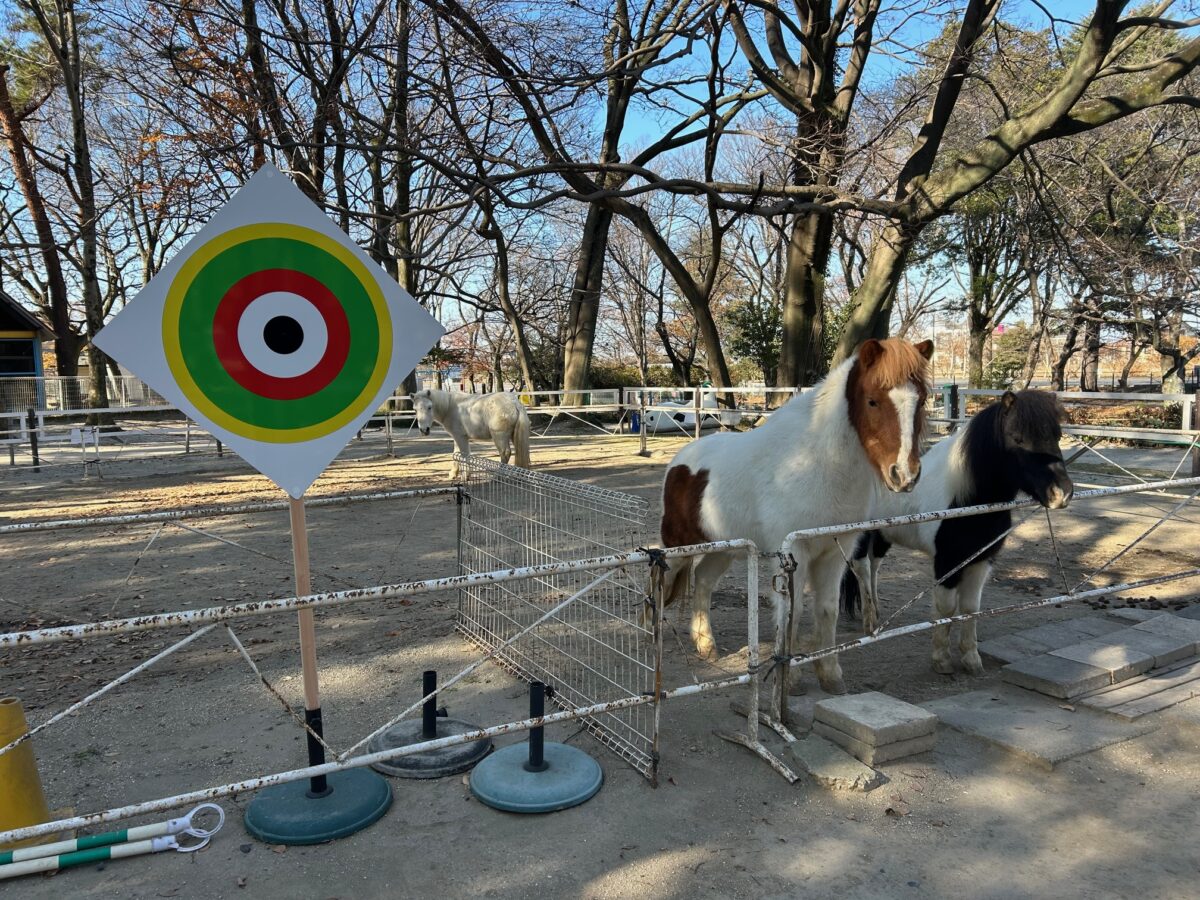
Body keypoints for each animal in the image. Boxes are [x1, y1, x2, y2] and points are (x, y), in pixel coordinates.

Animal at [655, 337, 934, 695]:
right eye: (872, 401)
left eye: (921, 401)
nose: (904, 475)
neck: (816, 463)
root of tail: (680, 462)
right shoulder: (793, 553)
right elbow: (793, 611)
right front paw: (791, 680)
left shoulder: (834, 553)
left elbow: (826, 609)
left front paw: (830, 676)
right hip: (678, 549)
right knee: (660, 583)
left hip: (724, 549)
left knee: (703, 581)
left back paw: (706, 646)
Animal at [840, 389, 1073, 675]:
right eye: (1018, 438)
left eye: (1058, 436)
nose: (1061, 494)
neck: (967, 499)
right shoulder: (946, 562)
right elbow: (947, 607)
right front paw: (941, 659)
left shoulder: (982, 560)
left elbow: (971, 608)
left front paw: (971, 658)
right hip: (863, 535)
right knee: (861, 568)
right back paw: (870, 622)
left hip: (884, 535)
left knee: (875, 566)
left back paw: (877, 611)